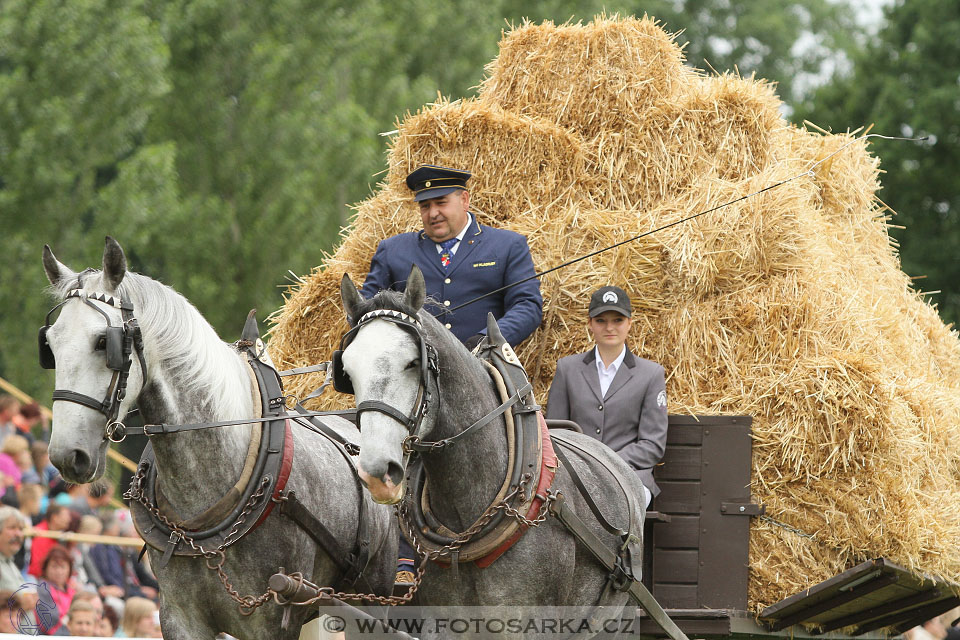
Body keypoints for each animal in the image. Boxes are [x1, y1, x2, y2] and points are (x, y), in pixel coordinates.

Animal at [41, 239, 398, 640]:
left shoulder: (273, 617)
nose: (68, 455)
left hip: (369, 599)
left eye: (104, 342)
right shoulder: (180, 615)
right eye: (49, 345)